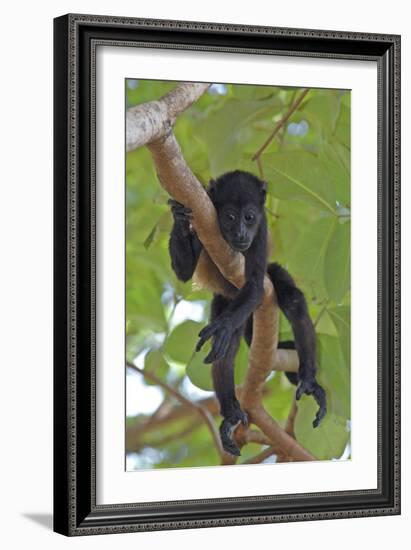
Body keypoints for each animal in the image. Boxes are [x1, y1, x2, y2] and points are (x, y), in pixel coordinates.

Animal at [169, 172, 326, 458]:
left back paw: (309, 380)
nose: (241, 233)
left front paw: (222, 327)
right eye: (230, 217)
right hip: (224, 301)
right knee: (227, 348)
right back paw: (231, 412)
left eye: (250, 217)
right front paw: (178, 217)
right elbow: (183, 272)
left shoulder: (261, 232)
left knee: (293, 302)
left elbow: (254, 285)